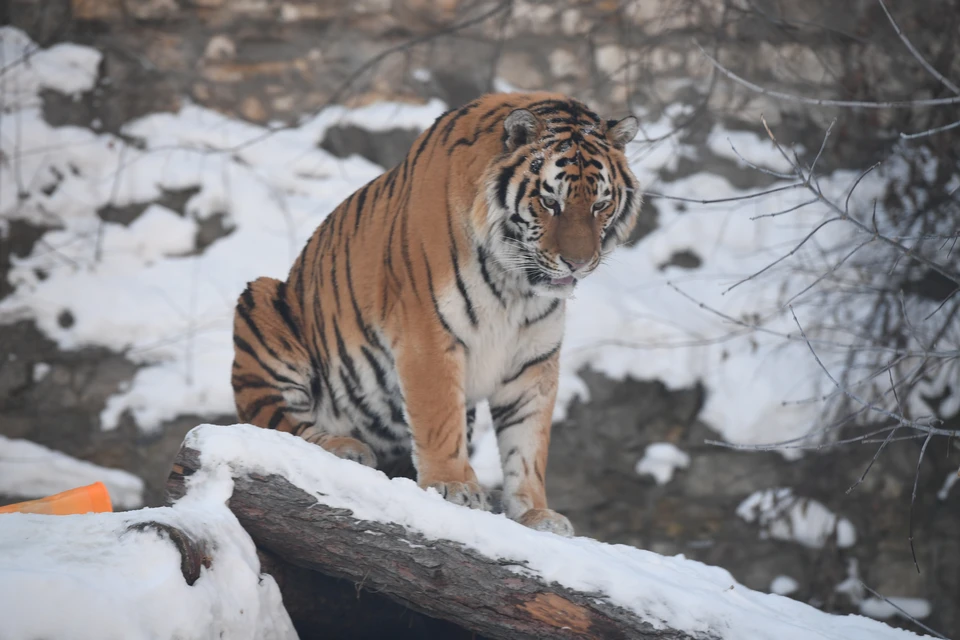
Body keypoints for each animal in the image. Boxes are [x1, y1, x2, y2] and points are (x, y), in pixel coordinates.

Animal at [229, 92, 640, 536]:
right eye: (550, 202)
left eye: (600, 204)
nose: (578, 264)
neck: (515, 284)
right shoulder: (428, 333)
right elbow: (440, 418)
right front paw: (454, 485)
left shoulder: (533, 359)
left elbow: (528, 443)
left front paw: (535, 513)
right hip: (262, 300)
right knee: (278, 426)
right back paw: (345, 447)